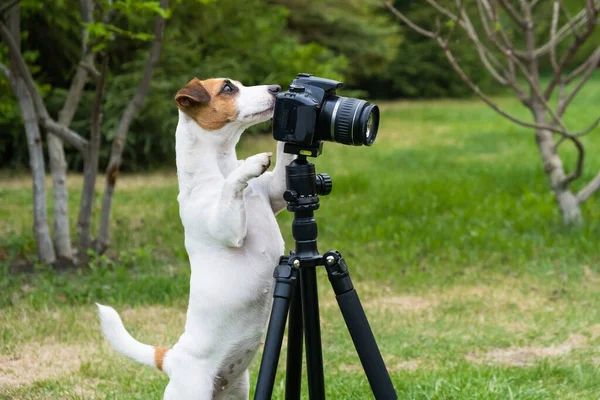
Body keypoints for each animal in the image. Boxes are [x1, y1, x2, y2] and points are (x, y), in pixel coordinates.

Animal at [96, 76, 296, 398]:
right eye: (228, 88)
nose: (277, 90)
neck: (220, 167)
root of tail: (171, 359)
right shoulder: (227, 227)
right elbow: (233, 184)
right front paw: (250, 164)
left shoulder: (276, 193)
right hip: (192, 390)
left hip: (237, 389)